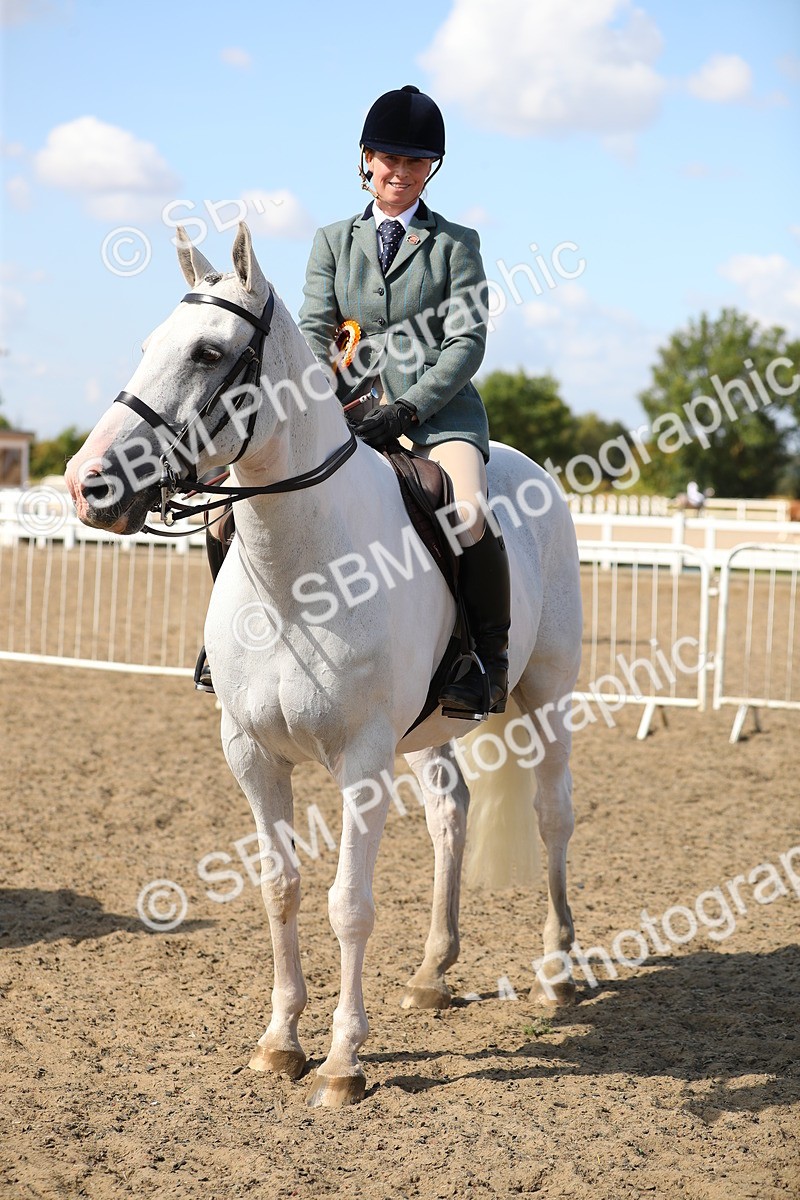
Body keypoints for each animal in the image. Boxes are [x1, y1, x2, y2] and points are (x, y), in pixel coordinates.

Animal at [65, 224, 583, 1108]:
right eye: (146, 346)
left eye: (208, 352)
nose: (88, 484)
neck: (297, 573)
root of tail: (529, 465)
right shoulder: (250, 754)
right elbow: (281, 889)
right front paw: (280, 1042)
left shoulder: (362, 760)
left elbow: (349, 904)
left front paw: (343, 1062)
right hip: (431, 729)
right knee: (450, 811)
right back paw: (433, 974)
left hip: (547, 696)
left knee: (553, 816)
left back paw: (555, 973)